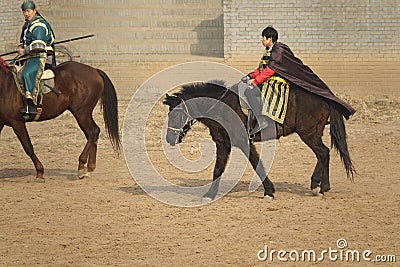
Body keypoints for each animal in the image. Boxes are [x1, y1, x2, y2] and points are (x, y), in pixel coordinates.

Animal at [163, 81, 356, 201]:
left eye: (176, 112)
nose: (169, 139)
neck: (220, 107)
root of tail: (325, 98)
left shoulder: (244, 143)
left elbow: (256, 163)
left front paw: (269, 191)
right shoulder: (223, 144)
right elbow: (218, 169)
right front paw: (210, 194)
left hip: (308, 134)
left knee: (323, 153)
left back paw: (318, 185)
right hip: (312, 134)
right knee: (325, 153)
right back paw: (322, 186)